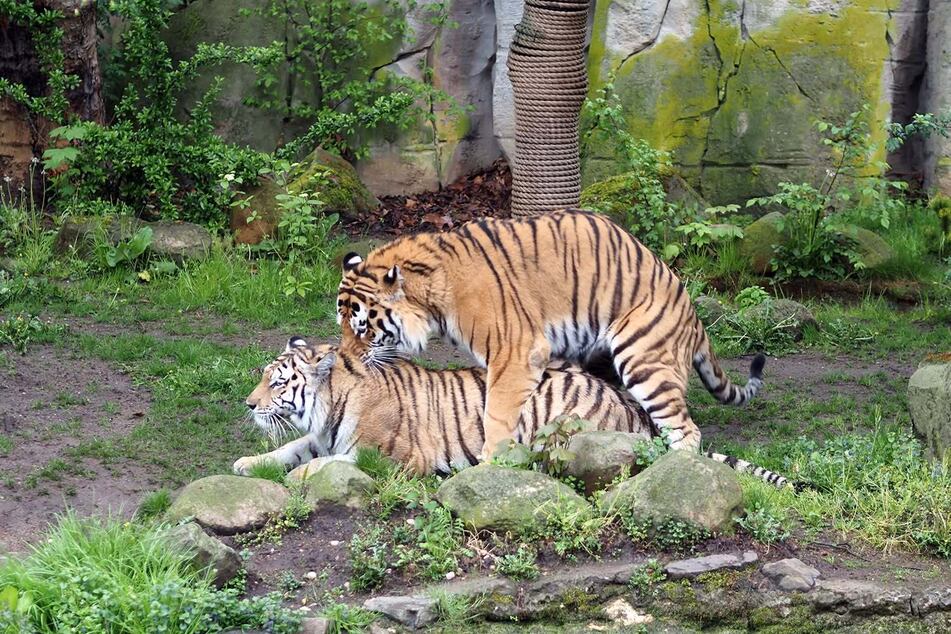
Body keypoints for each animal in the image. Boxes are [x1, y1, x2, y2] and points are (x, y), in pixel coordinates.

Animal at [233, 337, 795, 489]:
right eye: (262, 377)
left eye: (277, 382)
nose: (249, 403)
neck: (329, 406)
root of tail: (631, 408)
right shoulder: (318, 434)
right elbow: (295, 447)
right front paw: (246, 464)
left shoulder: (396, 458)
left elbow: (327, 463)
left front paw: (299, 475)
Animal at [336, 208, 766, 459]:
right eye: (342, 326)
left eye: (363, 328)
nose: (347, 360)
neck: (432, 297)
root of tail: (693, 314)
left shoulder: (516, 353)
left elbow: (496, 416)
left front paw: (489, 465)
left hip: (644, 359)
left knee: (687, 431)